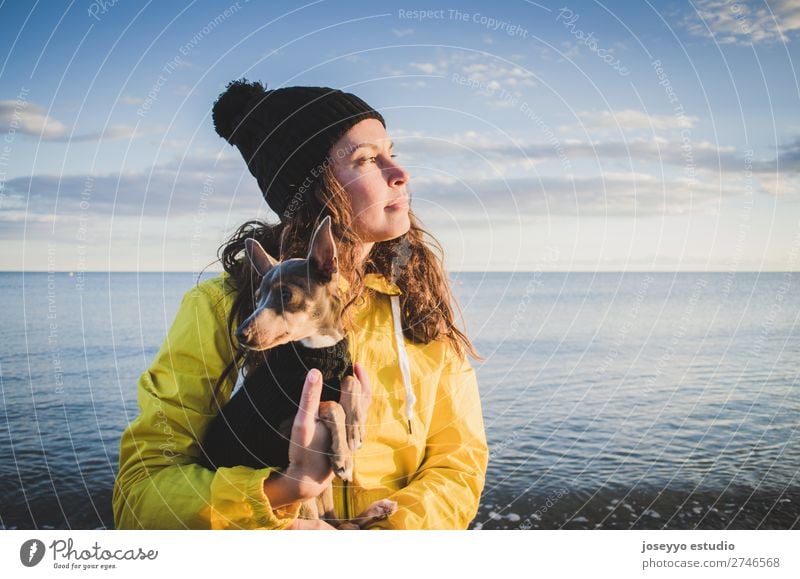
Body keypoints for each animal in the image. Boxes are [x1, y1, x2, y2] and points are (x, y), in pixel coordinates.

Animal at [203, 218, 396, 532]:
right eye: (257, 299)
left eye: (285, 295)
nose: (241, 333)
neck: (318, 350)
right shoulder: (282, 430)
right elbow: (329, 405)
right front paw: (343, 454)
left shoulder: (342, 371)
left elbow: (350, 379)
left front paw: (354, 427)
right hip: (304, 497)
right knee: (335, 525)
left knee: (341, 523)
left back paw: (376, 511)